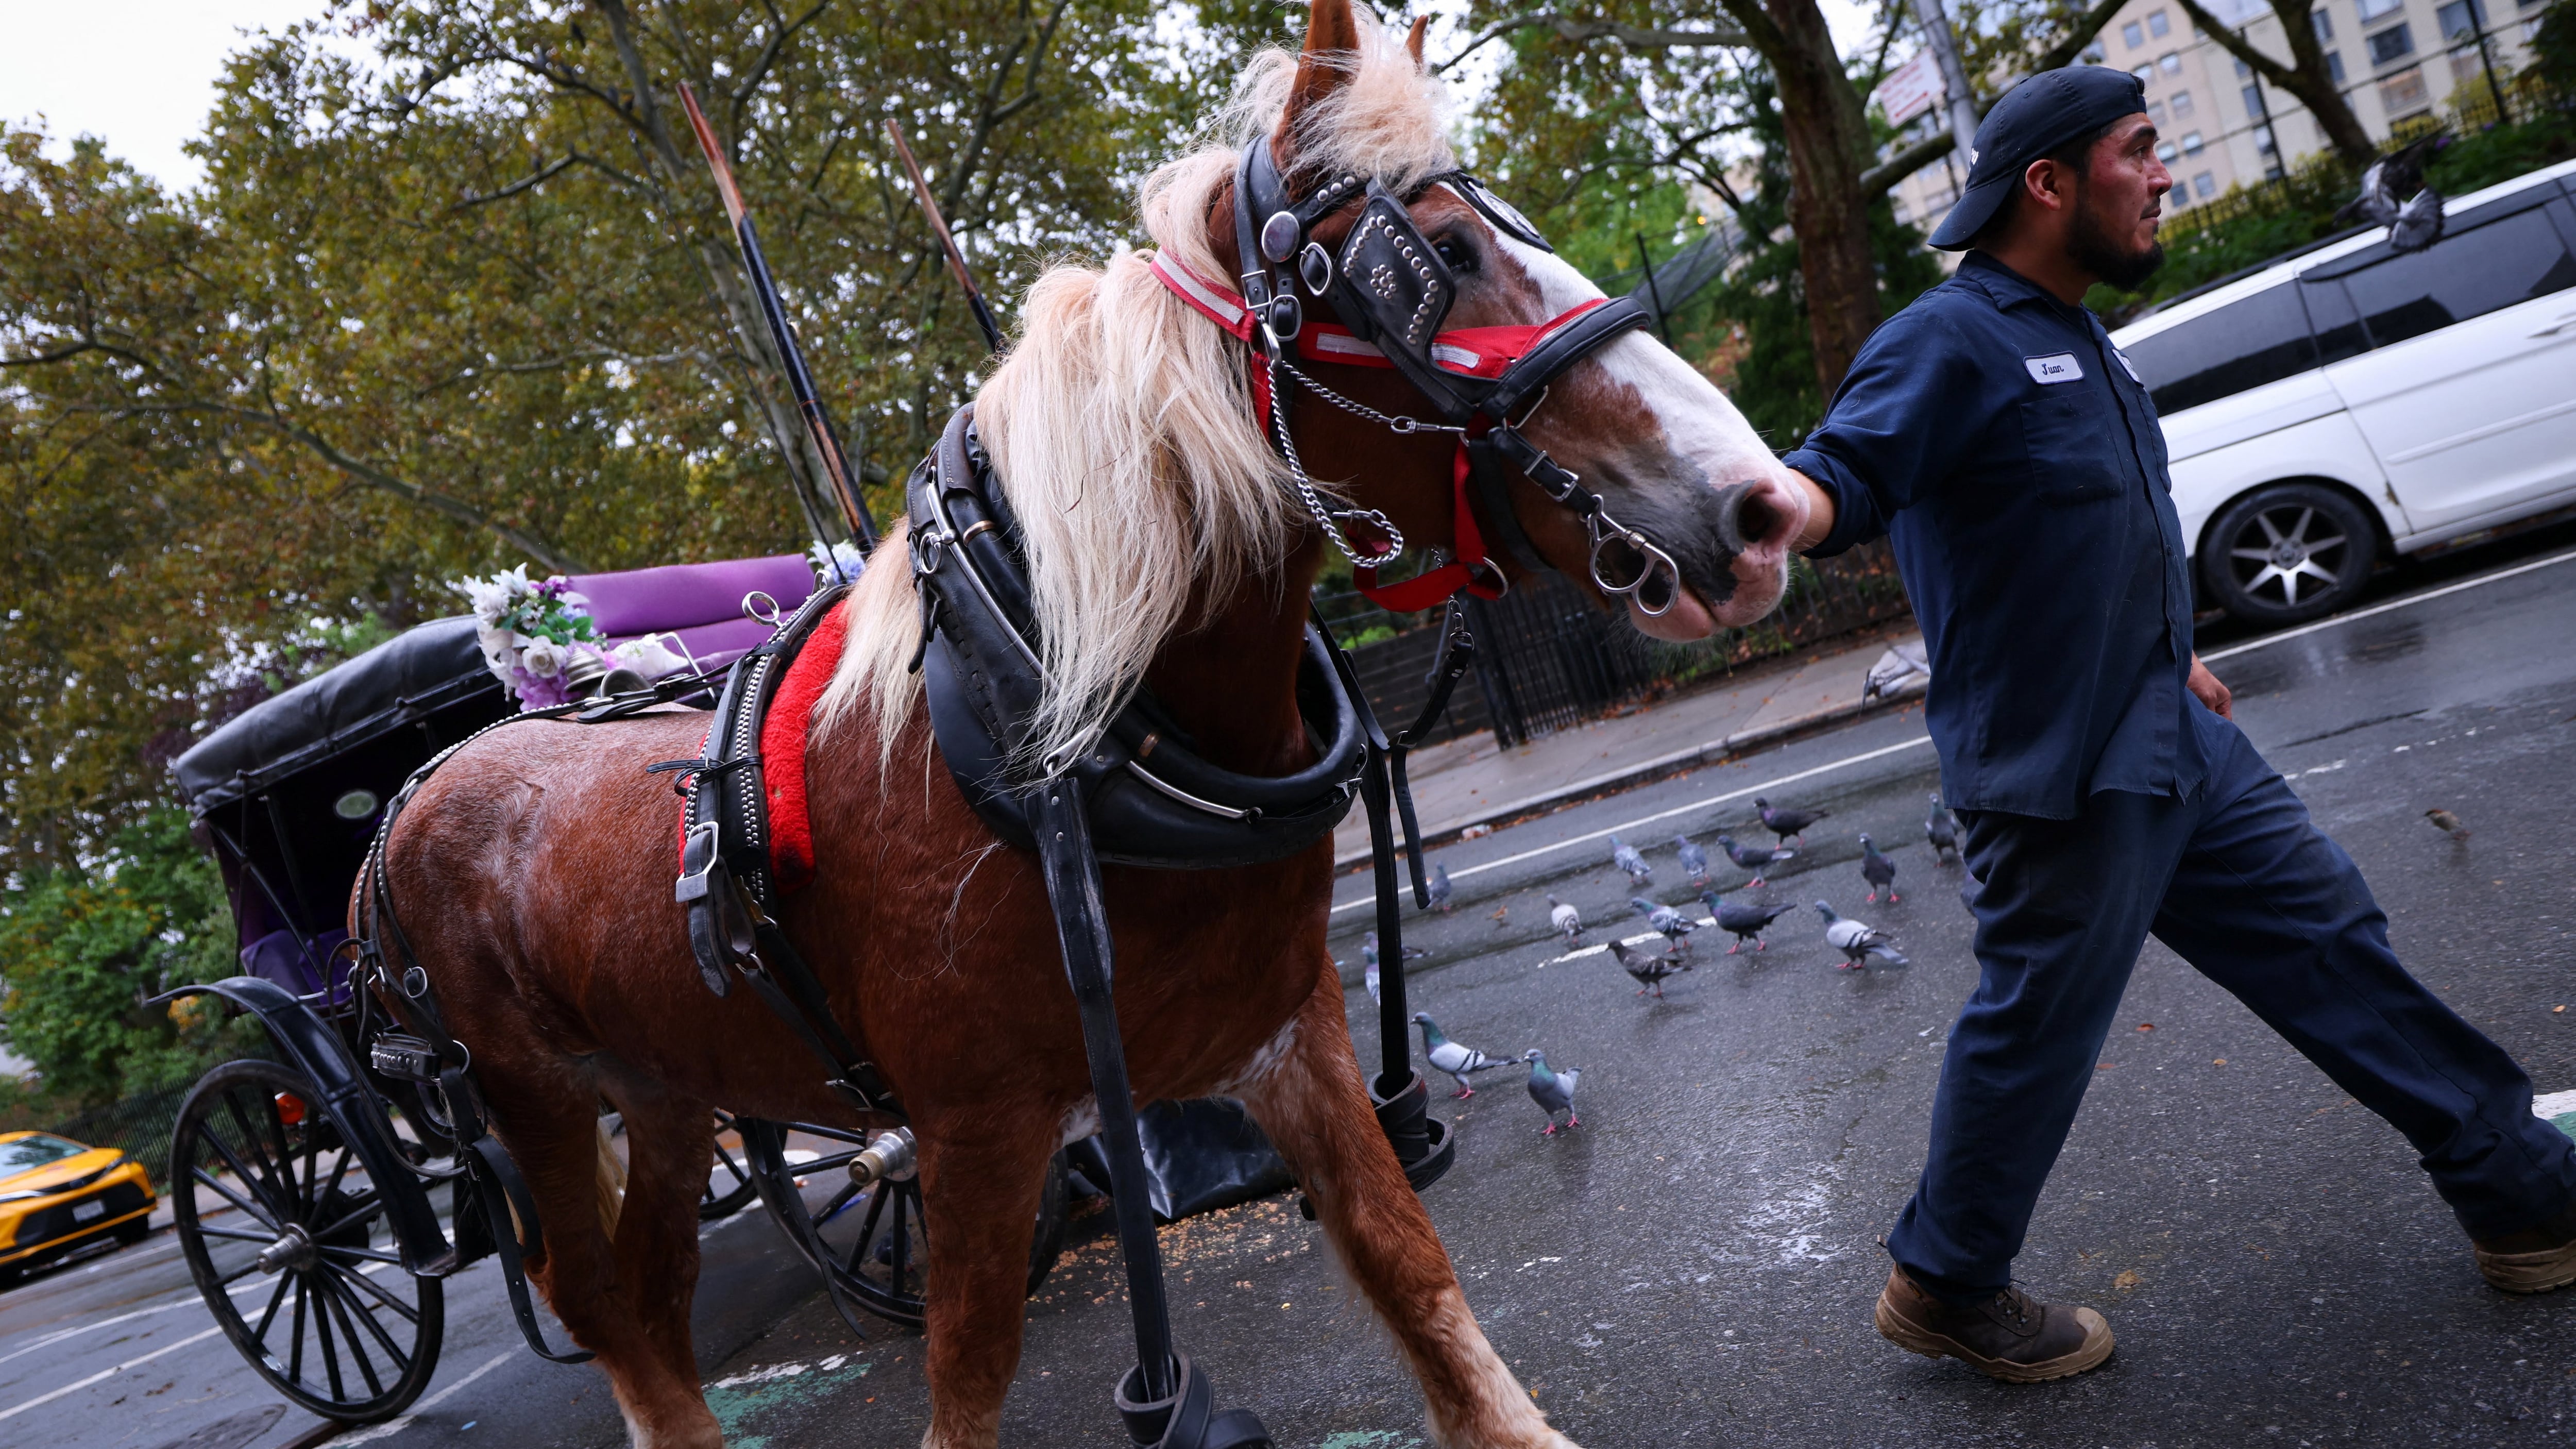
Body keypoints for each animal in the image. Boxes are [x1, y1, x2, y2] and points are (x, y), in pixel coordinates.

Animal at [370, 4, 1806, 1445]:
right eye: (1441, 258)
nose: (1765, 509)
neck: (1057, 732)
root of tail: (428, 781)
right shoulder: (975, 1134)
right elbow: (968, 1375)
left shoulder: (1291, 1030)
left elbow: (1406, 1259)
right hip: (539, 1099)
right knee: (595, 1297)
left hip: (662, 1086)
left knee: (652, 1297)